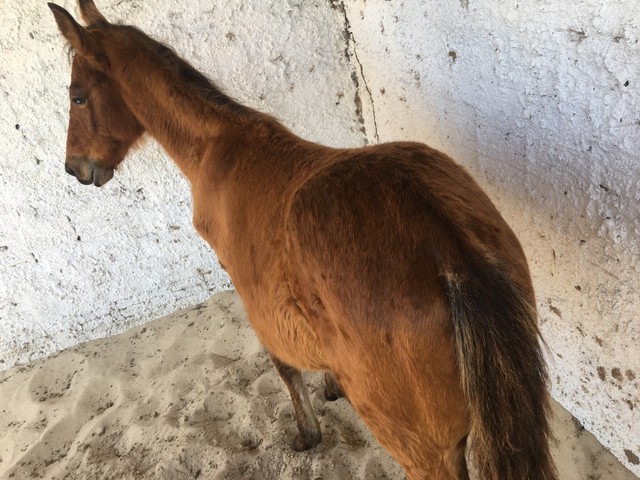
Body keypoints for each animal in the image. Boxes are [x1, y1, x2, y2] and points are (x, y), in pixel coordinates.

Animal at [50, 1, 556, 478]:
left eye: (77, 97)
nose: (74, 168)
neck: (221, 150)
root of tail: (445, 243)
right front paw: (331, 386)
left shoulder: (255, 297)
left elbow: (285, 366)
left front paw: (307, 432)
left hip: (426, 451)